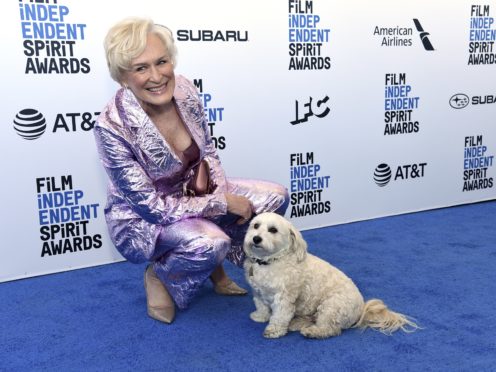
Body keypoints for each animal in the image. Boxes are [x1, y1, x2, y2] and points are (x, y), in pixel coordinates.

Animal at [242, 214, 416, 338]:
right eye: (255, 225)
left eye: (273, 230)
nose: (256, 238)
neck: (270, 261)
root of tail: (361, 309)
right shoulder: (258, 292)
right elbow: (262, 306)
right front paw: (260, 316)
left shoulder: (284, 298)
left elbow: (280, 315)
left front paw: (274, 330)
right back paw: (297, 323)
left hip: (331, 306)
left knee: (330, 329)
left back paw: (313, 332)